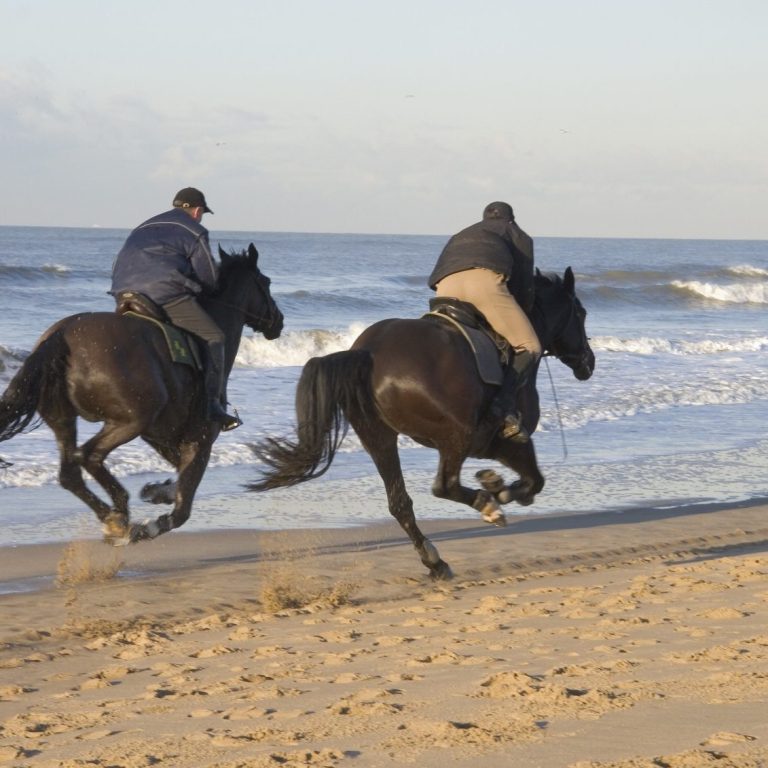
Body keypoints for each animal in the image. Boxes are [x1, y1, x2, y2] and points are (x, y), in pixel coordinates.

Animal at [0, 243, 284, 544]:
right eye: (266, 282)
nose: (278, 321)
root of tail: (60, 336)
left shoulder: (162, 436)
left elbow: (178, 477)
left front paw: (158, 490)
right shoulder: (199, 440)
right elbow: (183, 506)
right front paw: (154, 522)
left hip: (66, 419)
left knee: (70, 474)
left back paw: (111, 517)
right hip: (131, 421)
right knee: (88, 456)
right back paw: (120, 517)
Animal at [250, 268, 592, 580]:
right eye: (581, 313)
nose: (588, 362)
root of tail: (367, 352)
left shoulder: (490, 443)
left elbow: (531, 480)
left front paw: (495, 483)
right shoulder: (507, 440)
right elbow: (534, 481)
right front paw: (500, 491)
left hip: (379, 438)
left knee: (400, 502)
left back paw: (435, 561)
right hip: (455, 436)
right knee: (444, 486)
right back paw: (487, 507)